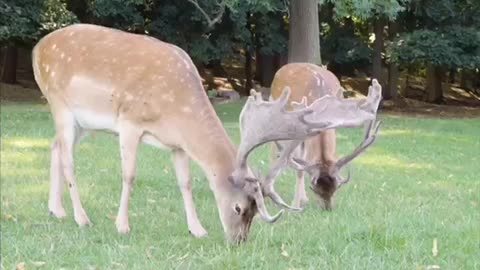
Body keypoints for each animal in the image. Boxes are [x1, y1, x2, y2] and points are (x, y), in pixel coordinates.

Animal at [270, 63, 382, 211]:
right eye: (315, 189)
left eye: (336, 188)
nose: (327, 208)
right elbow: (299, 169)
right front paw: (295, 205)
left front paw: (302, 200)